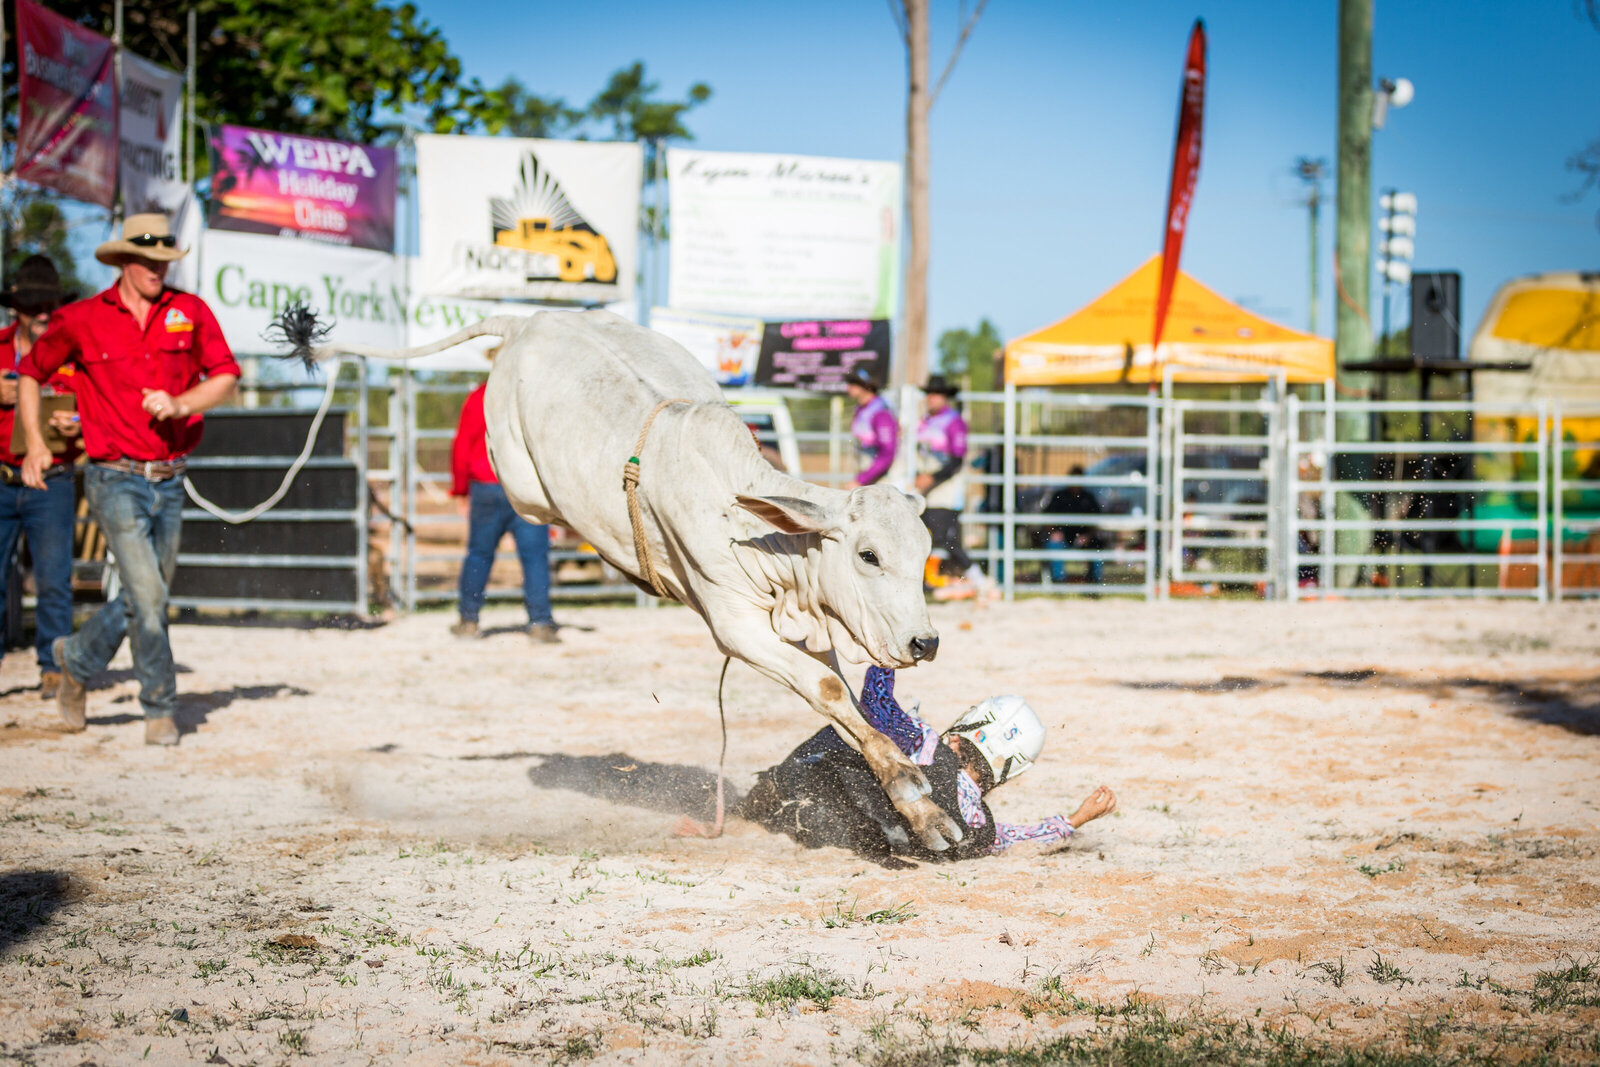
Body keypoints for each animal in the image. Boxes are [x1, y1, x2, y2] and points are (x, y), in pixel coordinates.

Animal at [300, 307, 960, 851]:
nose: (925, 643)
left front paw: (921, 811)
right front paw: (909, 789)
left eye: (924, 550)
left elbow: (843, 703)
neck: (750, 522)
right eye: (869, 555)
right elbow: (826, 691)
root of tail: (529, 319)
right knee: (519, 494)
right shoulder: (735, 628)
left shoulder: (800, 628)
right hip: (519, 480)